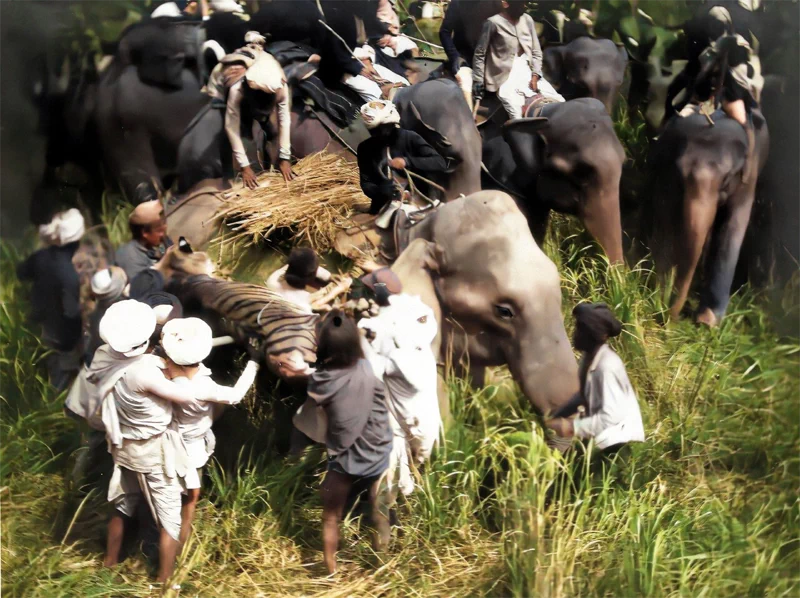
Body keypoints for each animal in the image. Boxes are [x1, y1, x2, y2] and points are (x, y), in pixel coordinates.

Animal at [644, 112, 768, 328]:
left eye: (726, 179)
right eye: (679, 172)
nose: (669, 317)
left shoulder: (749, 178)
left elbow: (733, 227)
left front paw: (708, 321)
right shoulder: (665, 172)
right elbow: (664, 217)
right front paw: (658, 292)